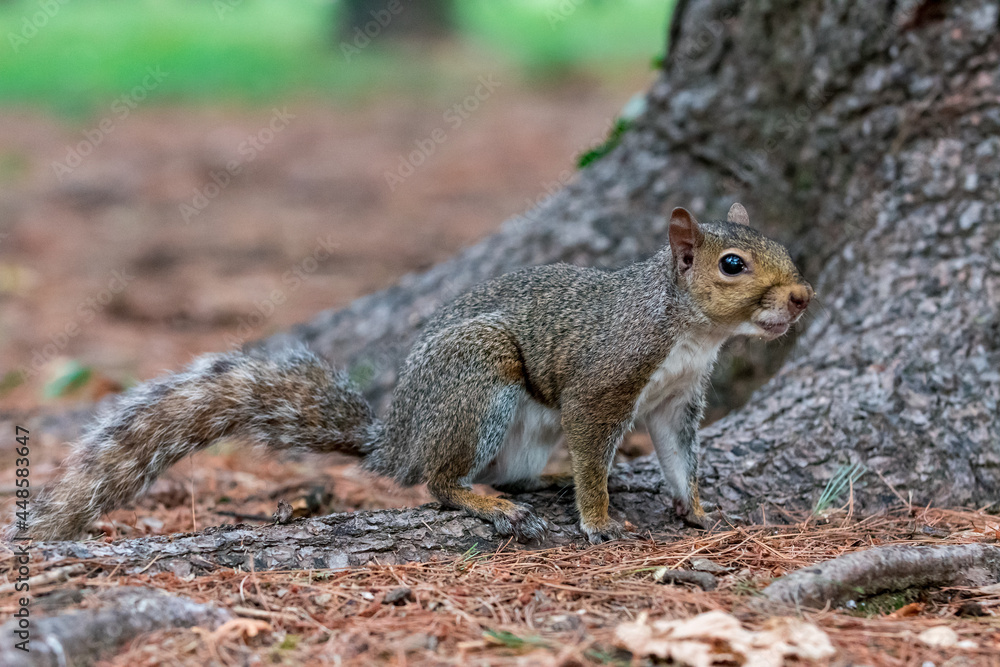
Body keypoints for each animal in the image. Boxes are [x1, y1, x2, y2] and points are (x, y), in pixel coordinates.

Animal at [17, 203, 811, 544]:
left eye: (780, 245)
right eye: (731, 265)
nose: (802, 297)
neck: (689, 331)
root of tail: (398, 438)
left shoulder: (678, 400)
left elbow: (679, 454)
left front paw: (696, 507)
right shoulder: (603, 382)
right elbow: (594, 450)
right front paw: (599, 516)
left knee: (499, 470)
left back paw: (528, 486)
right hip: (477, 381)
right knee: (435, 481)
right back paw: (486, 501)